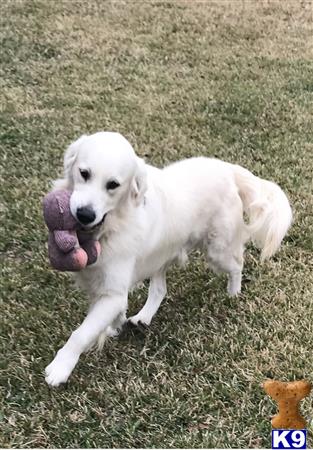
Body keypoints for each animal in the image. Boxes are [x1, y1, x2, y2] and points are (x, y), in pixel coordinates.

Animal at [44, 131, 292, 386]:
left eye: (113, 185)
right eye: (84, 173)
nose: (84, 214)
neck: (111, 225)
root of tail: (227, 169)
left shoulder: (112, 292)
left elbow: (81, 333)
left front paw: (60, 368)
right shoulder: (102, 284)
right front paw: (115, 325)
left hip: (217, 249)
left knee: (237, 264)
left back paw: (233, 293)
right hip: (161, 256)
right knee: (160, 290)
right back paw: (143, 317)